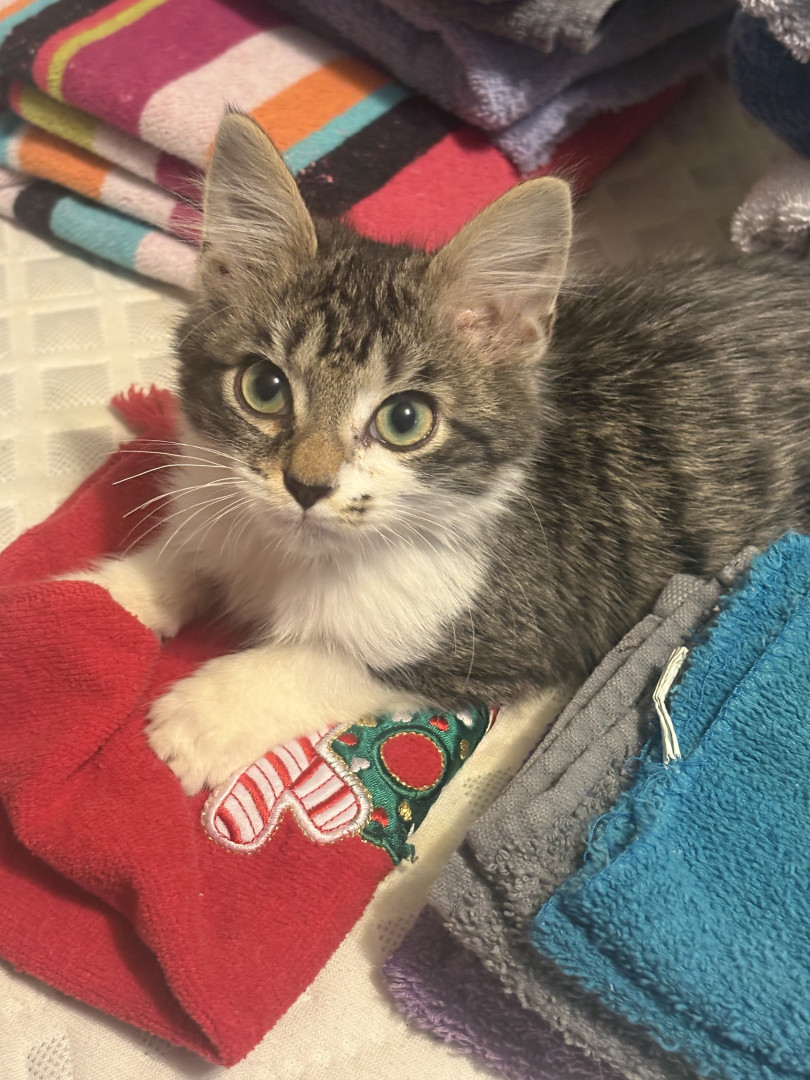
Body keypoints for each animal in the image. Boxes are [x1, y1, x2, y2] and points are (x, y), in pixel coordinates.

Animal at [70, 110, 810, 795]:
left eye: (404, 420)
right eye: (264, 387)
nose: (306, 486)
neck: (293, 555)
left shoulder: (504, 639)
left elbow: (328, 659)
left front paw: (202, 714)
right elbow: (189, 554)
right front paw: (102, 595)